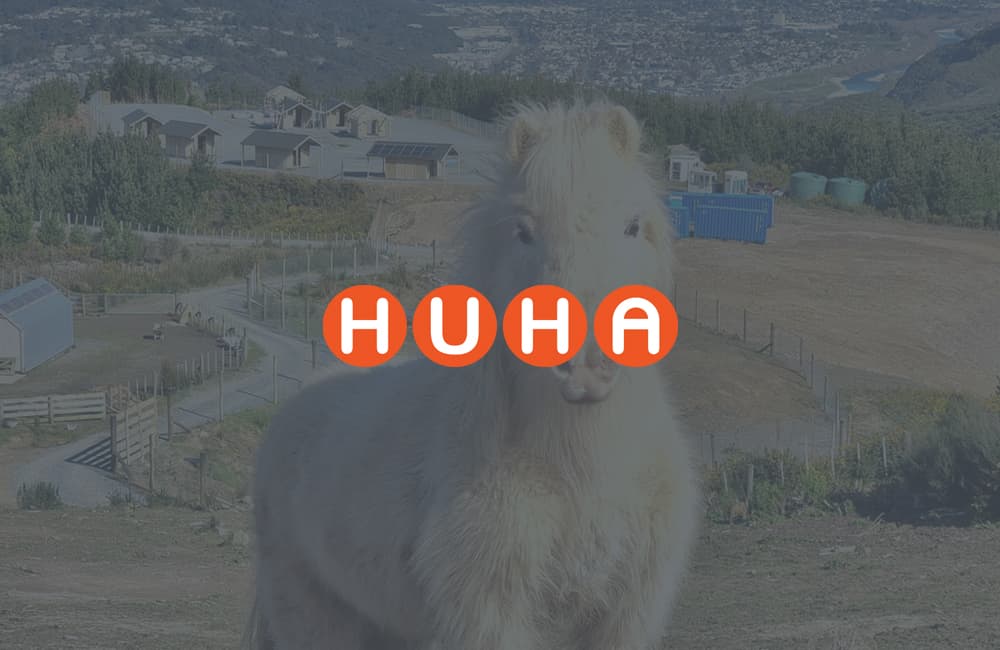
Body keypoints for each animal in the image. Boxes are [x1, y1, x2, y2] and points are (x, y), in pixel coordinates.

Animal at [242, 97, 702, 650]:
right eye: (523, 231)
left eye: (632, 226)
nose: (587, 366)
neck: (580, 472)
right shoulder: (489, 615)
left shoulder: (623, 618)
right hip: (315, 617)